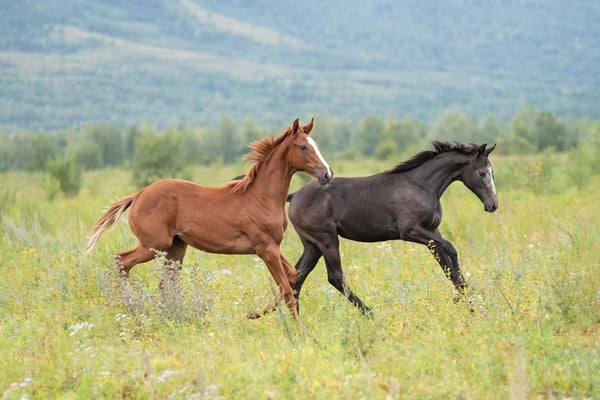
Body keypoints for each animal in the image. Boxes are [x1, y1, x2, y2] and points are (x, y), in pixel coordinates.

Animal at [83, 118, 332, 318]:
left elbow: (291, 277)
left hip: (175, 248)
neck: (261, 197)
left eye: (317, 146)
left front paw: (254, 314)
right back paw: (133, 307)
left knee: (165, 284)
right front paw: (297, 331)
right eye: (302, 147)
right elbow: (287, 288)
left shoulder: (272, 246)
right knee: (122, 261)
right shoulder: (265, 248)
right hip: (154, 245)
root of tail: (138, 195)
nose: (327, 174)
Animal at [286, 141, 496, 316]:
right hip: (327, 239)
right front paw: (464, 303)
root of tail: (294, 196)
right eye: (482, 173)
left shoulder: (432, 231)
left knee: (297, 276)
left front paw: (468, 305)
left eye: (492, 172)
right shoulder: (410, 231)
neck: (421, 186)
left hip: (312, 245)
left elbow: (447, 268)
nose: (493, 205)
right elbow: (451, 249)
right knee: (335, 277)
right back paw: (370, 314)